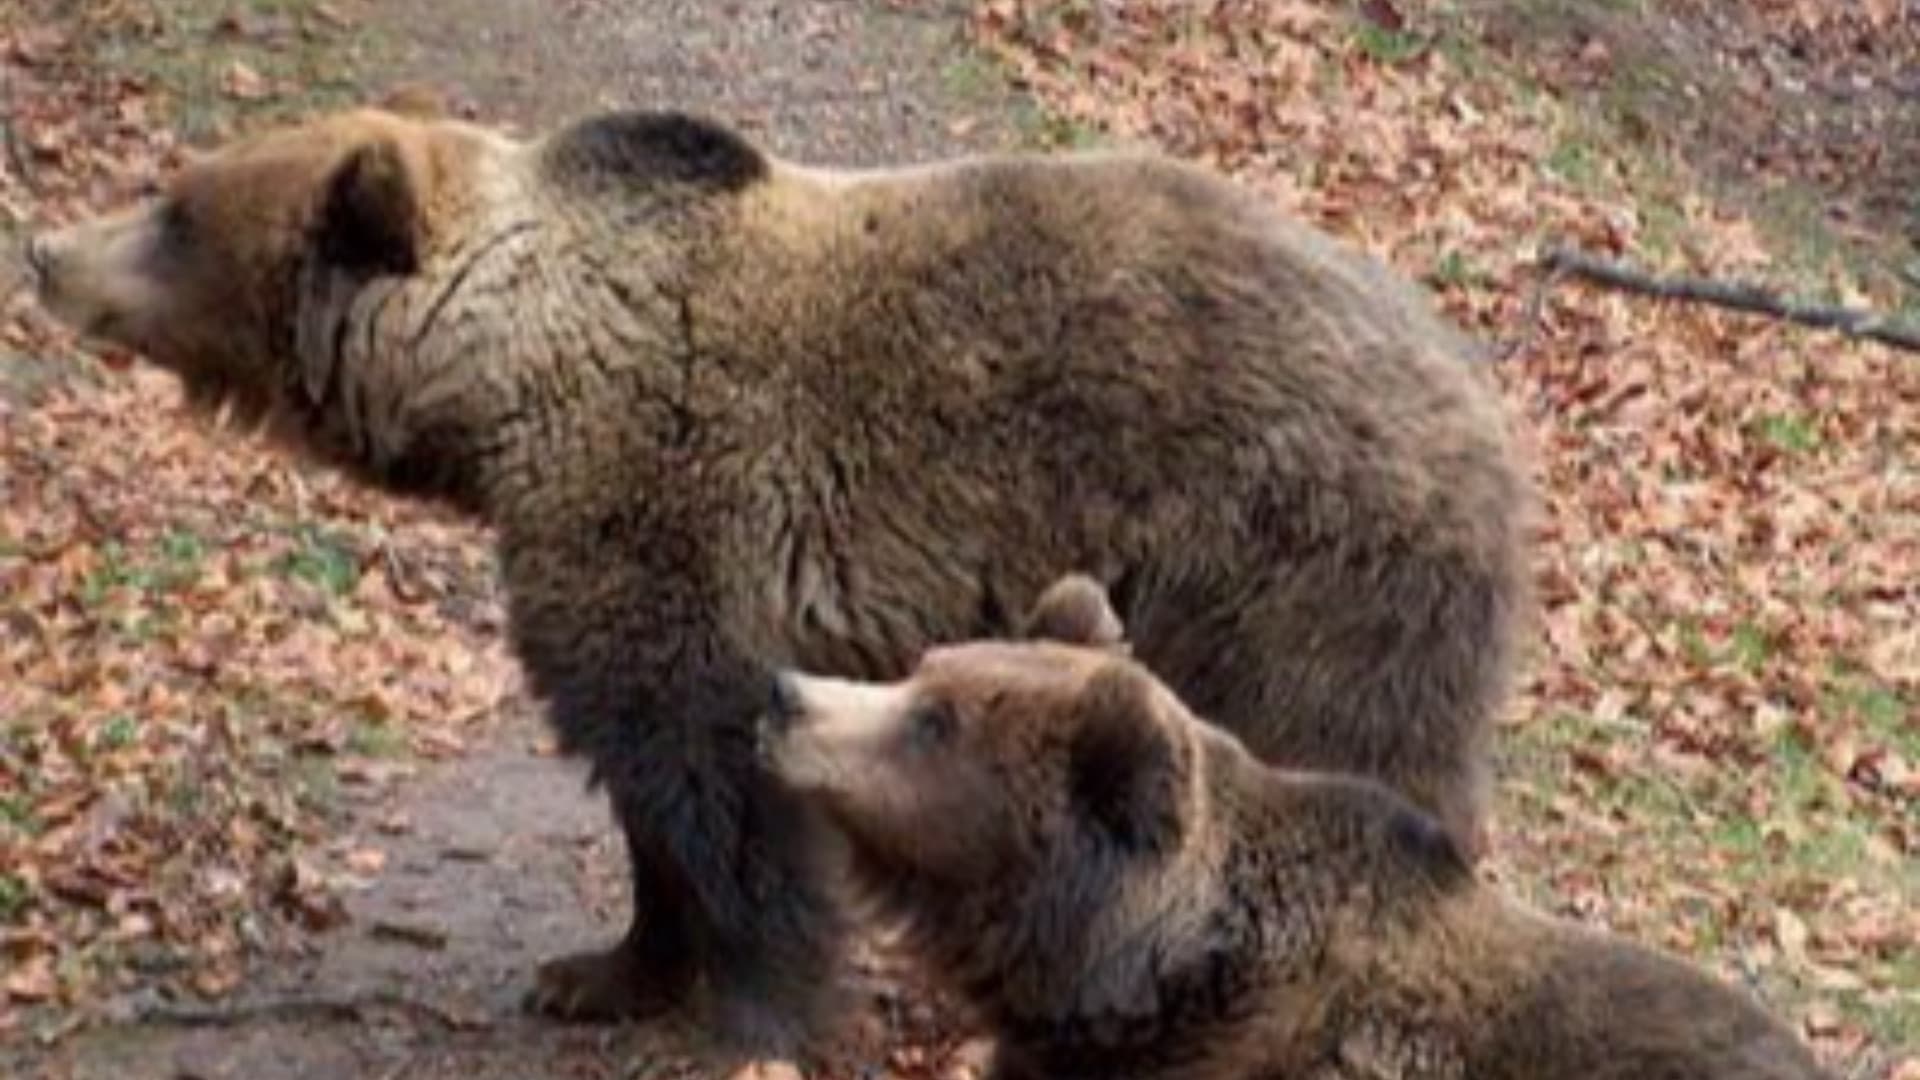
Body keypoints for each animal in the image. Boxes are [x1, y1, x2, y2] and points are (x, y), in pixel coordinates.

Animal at [24, 96, 1526, 1056]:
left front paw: (749, 1005)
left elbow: (709, 777)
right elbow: (649, 793)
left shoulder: (663, 510)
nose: (43, 250)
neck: (501, 383)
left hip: (1293, 580)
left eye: (173, 208)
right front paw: (600, 970)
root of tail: (1486, 413)